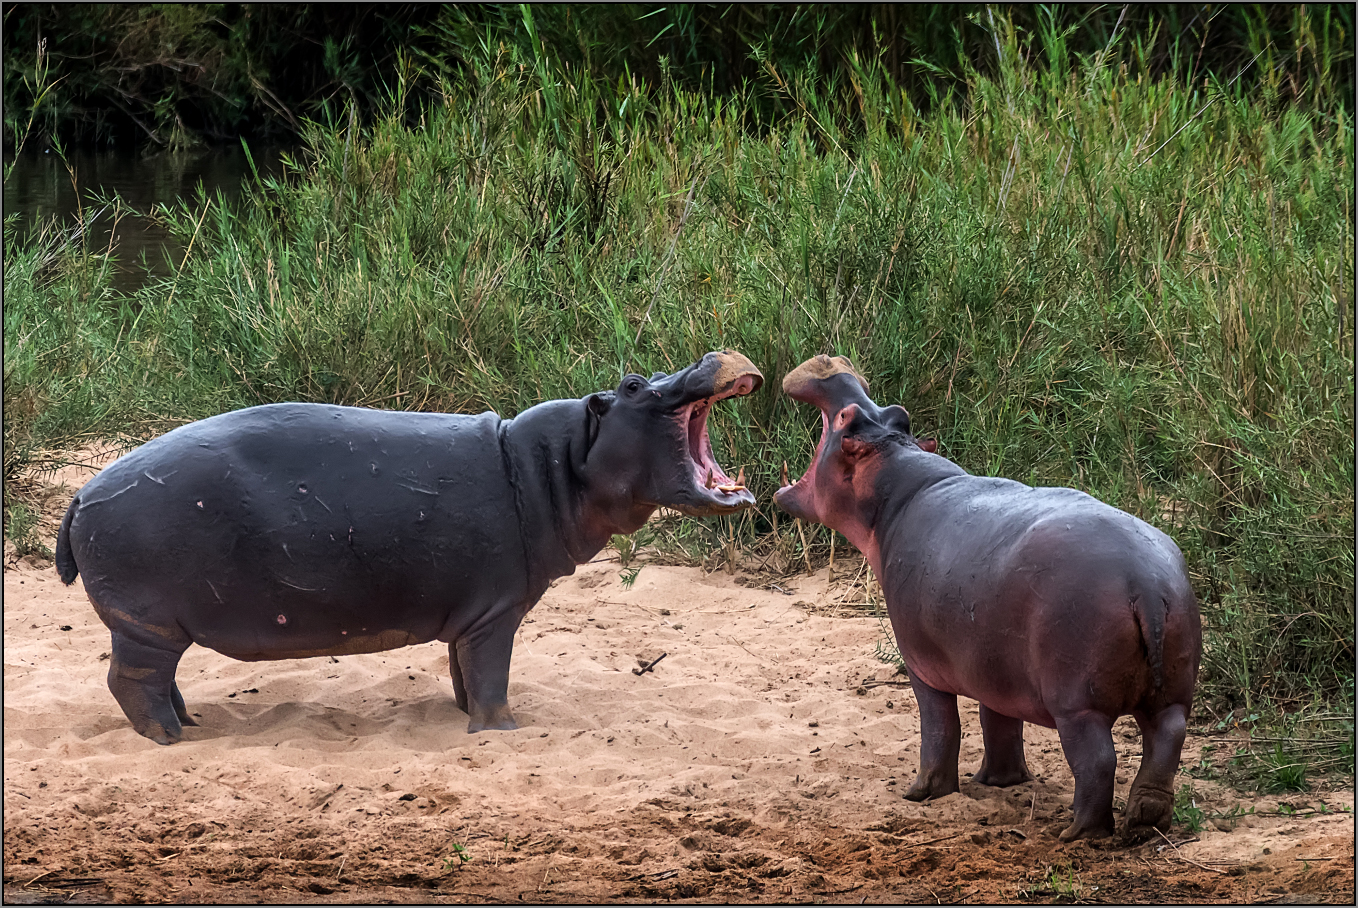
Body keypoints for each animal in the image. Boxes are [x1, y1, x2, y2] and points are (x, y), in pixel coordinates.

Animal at [55, 350, 765, 738]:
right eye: (633, 385)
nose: (714, 357)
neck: (556, 464)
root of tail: (80, 494)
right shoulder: (498, 612)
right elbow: (492, 675)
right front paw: (504, 731)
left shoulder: (474, 612)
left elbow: (464, 671)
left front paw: (466, 718)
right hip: (144, 622)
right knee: (131, 681)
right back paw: (172, 739)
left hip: (152, 624)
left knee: (156, 680)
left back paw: (191, 722)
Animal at [776, 355, 1200, 841]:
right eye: (896, 413)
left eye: (846, 420)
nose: (835, 364)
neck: (897, 485)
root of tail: (1145, 584)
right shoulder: (997, 671)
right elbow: (997, 722)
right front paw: (997, 782)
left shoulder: (922, 666)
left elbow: (940, 728)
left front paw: (920, 794)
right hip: (1171, 694)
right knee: (1166, 743)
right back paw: (1145, 821)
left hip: (1078, 705)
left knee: (1097, 760)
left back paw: (1077, 833)